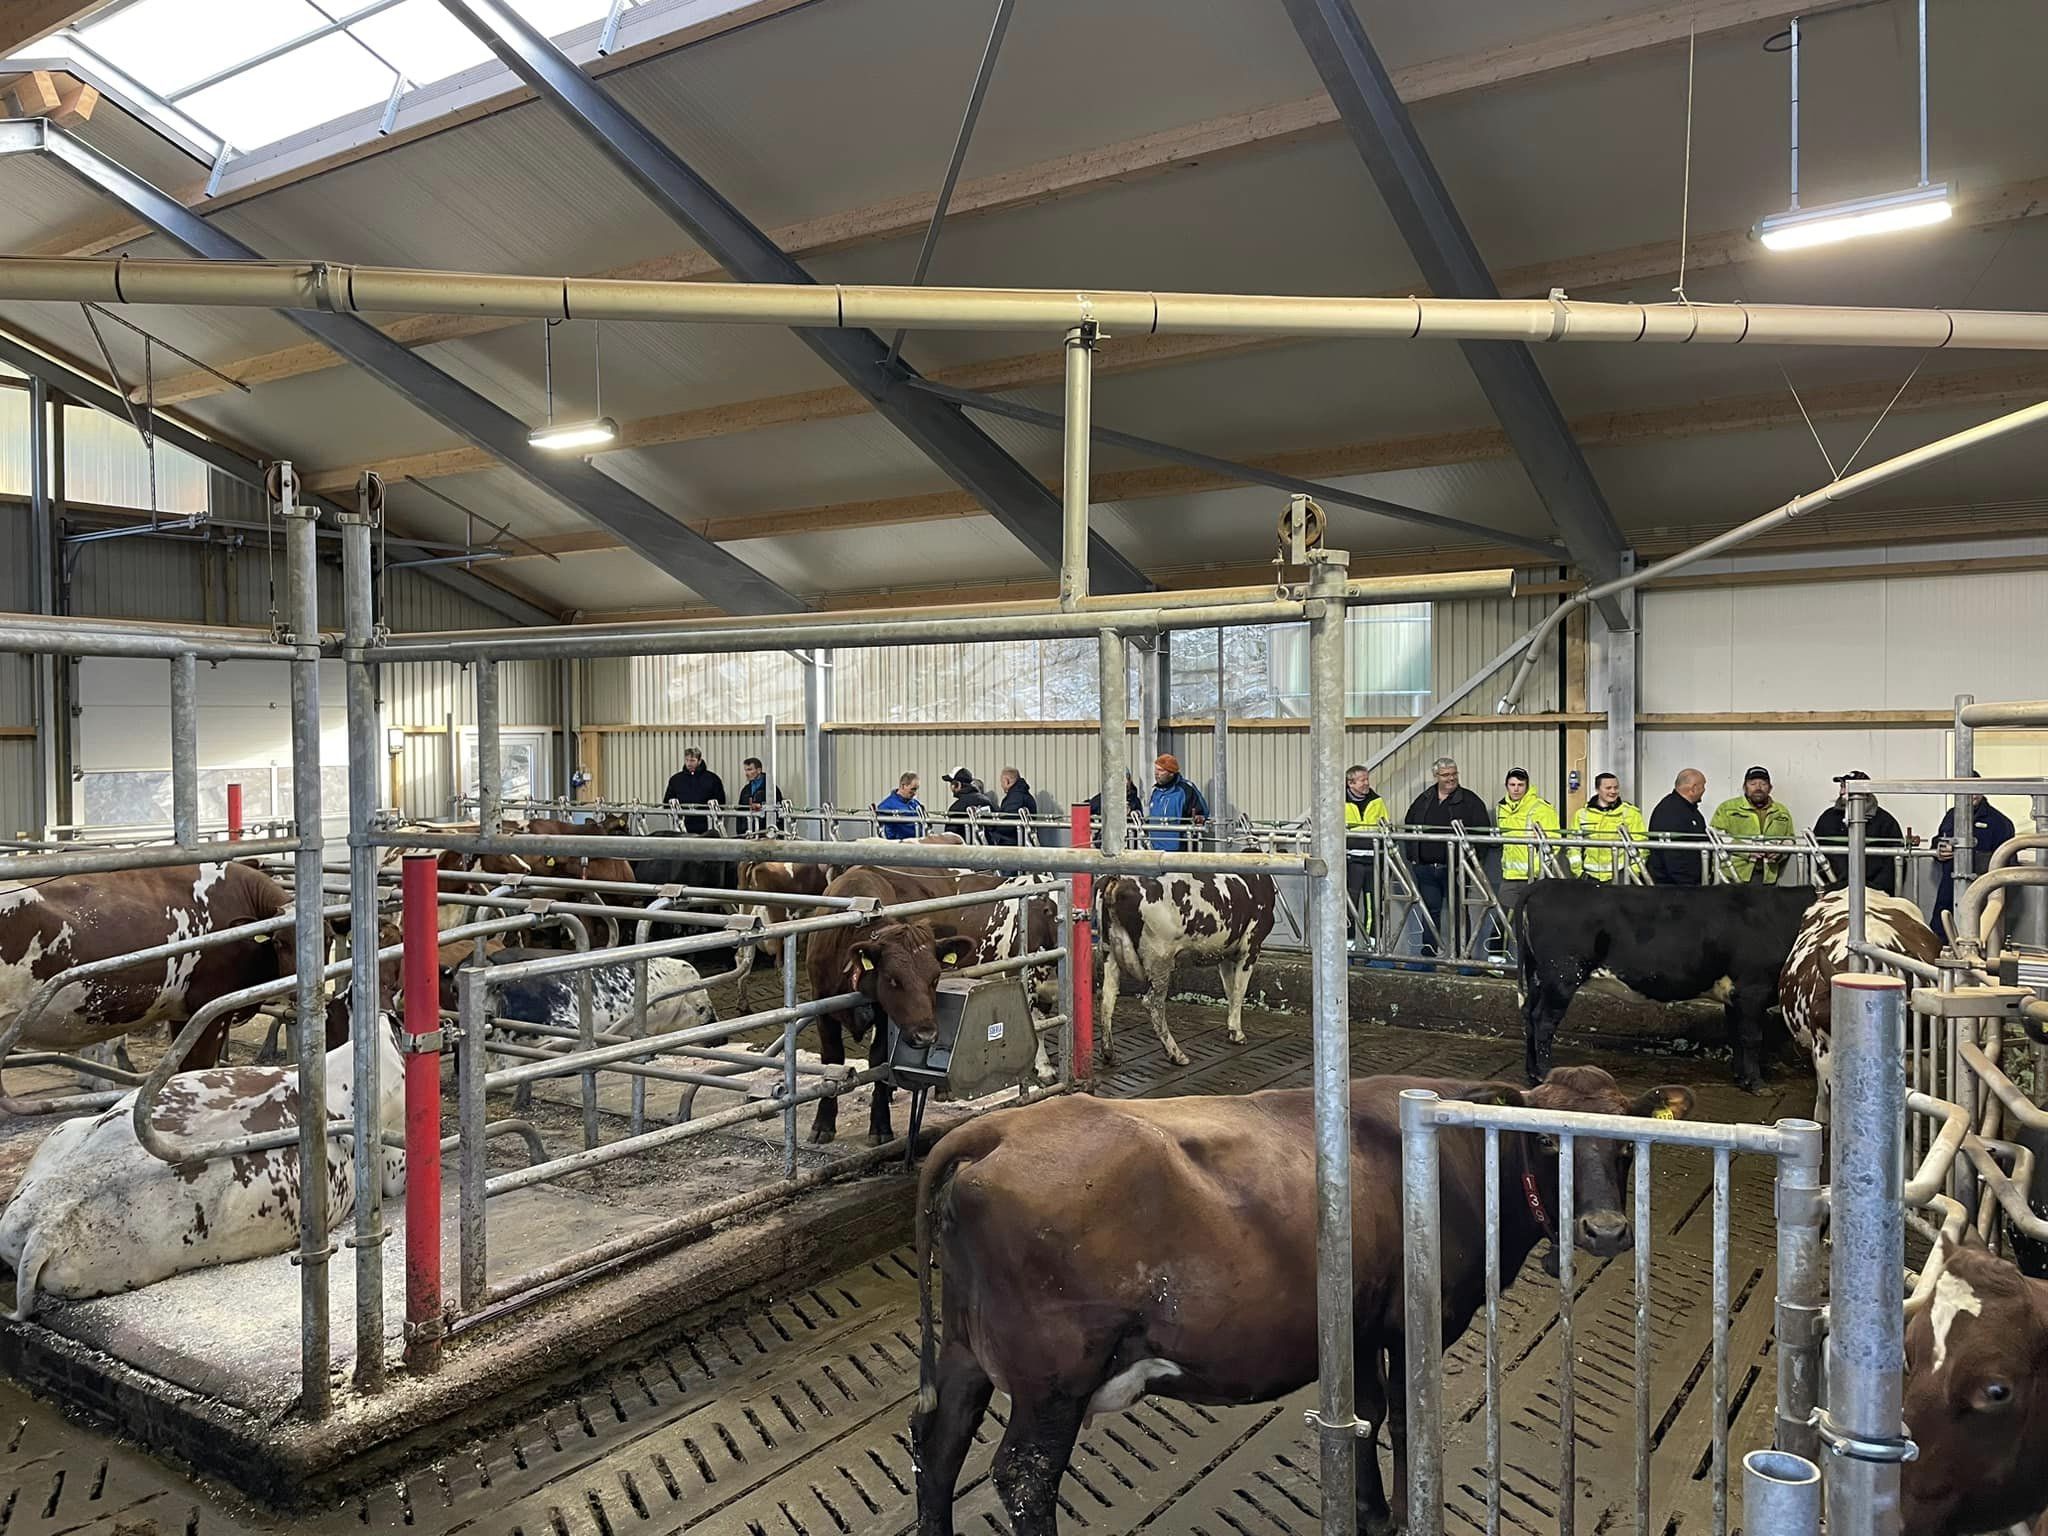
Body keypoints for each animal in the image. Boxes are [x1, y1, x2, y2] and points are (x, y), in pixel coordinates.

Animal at [1, 863, 305, 1076]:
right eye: (280, 942)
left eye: (320, 939)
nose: (296, 993)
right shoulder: (209, 1009)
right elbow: (198, 1066)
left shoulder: (183, 1013)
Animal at [910, 1065, 1693, 1536]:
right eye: (1546, 1144)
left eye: (1626, 1146)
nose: (1606, 1229)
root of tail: (1000, 1128)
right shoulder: (1414, 1320)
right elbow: (1404, 1420)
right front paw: (1402, 1512)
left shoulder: (1363, 1319)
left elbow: (1369, 1413)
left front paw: (1369, 1510)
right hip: (1054, 1377)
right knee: (1023, 1477)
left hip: (965, 1349)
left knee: (940, 1441)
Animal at [1095, 873, 1277, 1067]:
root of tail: (1119, 880)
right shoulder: (1251, 946)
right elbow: (1239, 991)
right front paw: (1238, 1034)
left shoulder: (1224, 953)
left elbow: (1230, 991)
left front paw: (1232, 1029)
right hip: (1159, 959)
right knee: (1152, 1003)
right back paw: (1176, 1054)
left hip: (1109, 952)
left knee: (1107, 997)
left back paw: (1109, 1053)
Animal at [1515, 880, 1819, 1093]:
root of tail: (1544, 885)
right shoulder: (1752, 989)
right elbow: (1752, 1038)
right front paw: (1757, 1084)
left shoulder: (1735, 996)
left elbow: (1736, 1035)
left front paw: (1741, 1077)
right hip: (1562, 976)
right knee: (1543, 1022)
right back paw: (1544, 1074)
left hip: (1539, 976)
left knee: (1529, 1015)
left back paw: (1531, 1073)